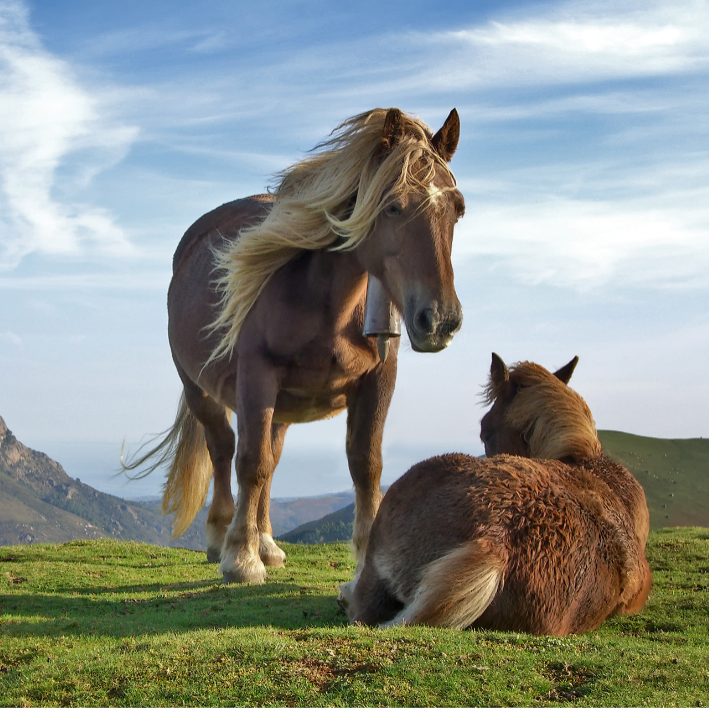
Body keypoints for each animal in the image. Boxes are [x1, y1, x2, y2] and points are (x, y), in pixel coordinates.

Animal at [123, 105, 464, 580]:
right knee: (224, 448)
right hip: (200, 389)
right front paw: (241, 558)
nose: (440, 320)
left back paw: (267, 542)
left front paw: (364, 560)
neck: (326, 303)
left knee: (271, 457)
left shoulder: (378, 380)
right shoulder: (256, 377)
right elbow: (249, 462)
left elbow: (366, 464)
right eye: (393, 206)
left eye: (458, 210)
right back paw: (222, 536)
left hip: (283, 405)